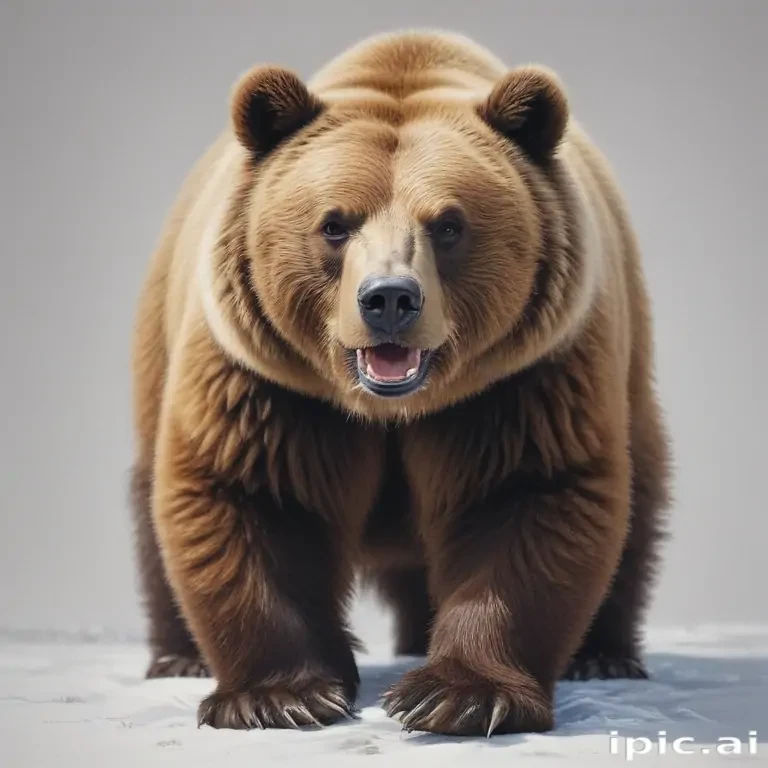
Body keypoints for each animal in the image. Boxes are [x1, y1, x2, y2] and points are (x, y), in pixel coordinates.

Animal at [130, 29, 670, 736]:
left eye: (449, 224)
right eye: (335, 223)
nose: (389, 299)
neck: (392, 410)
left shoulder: (521, 382)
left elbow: (526, 495)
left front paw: (460, 695)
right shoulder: (270, 386)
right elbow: (255, 496)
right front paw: (281, 696)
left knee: (639, 496)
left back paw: (603, 655)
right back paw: (179, 656)